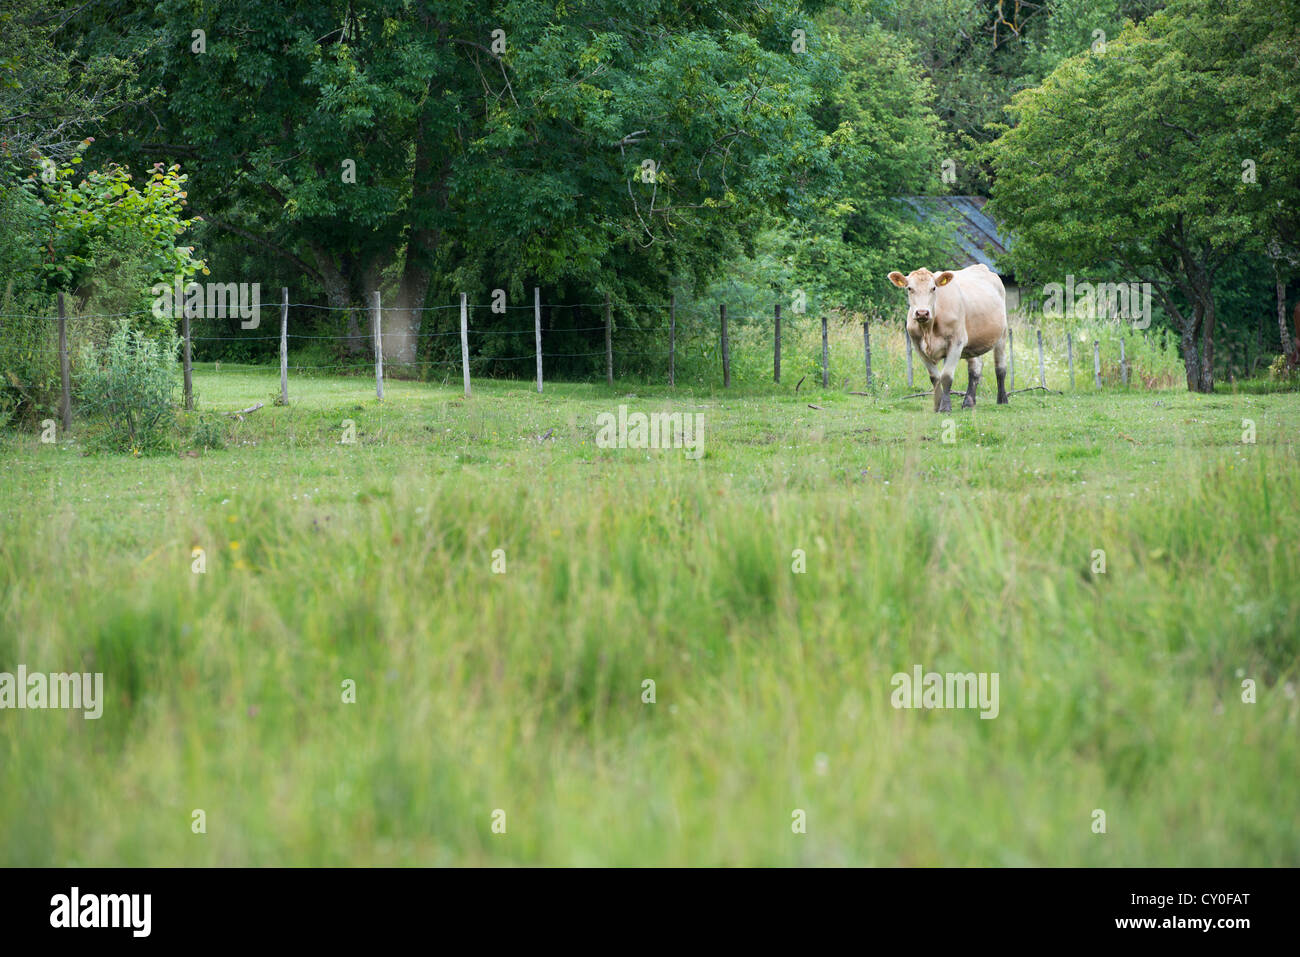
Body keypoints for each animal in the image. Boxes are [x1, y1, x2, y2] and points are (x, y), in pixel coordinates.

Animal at [888, 264, 1009, 413]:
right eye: (910, 288)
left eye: (933, 288)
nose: (922, 313)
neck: (929, 330)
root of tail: (981, 267)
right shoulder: (917, 347)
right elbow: (935, 377)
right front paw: (937, 405)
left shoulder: (956, 342)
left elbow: (946, 376)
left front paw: (945, 407)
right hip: (973, 343)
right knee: (975, 369)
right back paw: (969, 402)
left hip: (1002, 334)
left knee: (1000, 367)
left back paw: (1002, 400)